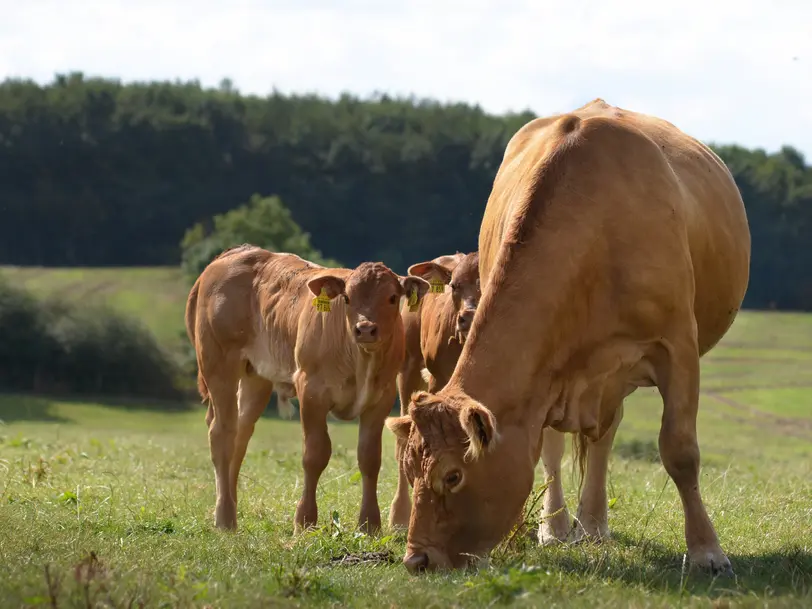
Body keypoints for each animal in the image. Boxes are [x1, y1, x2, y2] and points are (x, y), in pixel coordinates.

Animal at [185, 245, 432, 536]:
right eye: (347, 298)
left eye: (393, 297)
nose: (365, 329)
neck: (359, 359)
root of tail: (237, 252)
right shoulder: (311, 391)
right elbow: (315, 454)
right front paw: (304, 521)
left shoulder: (380, 399)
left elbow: (369, 459)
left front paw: (369, 524)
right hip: (218, 364)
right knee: (222, 433)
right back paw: (225, 519)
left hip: (255, 376)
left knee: (240, 433)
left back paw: (229, 505)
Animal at [386, 100, 748, 576]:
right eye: (411, 471)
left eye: (452, 475)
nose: (417, 559)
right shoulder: (543, 376)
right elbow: (544, 450)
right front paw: (539, 531)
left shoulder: (678, 348)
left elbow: (680, 450)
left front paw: (707, 551)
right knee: (565, 447)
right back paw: (559, 527)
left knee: (603, 438)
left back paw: (593, 524)